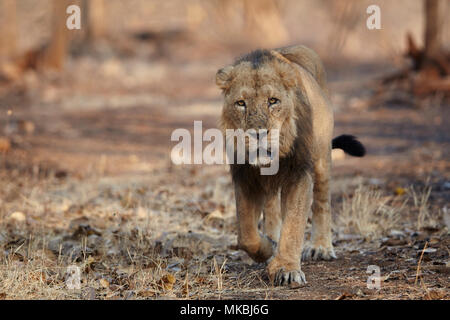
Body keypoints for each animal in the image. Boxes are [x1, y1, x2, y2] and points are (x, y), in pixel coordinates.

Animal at [215, 44, 366, 284]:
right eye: (241, 103)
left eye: (273, 101)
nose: (258, 134)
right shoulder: (245, 176)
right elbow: (246, 234)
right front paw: (268, 248)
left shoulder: (299, 173)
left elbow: (294, 224)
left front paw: (286, 269)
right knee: (271, 208)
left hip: (322, 158)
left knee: (322, 202)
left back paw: (320, 247)